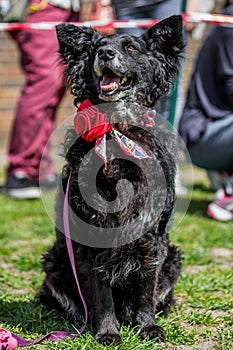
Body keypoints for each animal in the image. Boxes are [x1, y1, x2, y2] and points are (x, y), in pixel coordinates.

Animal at [39, 16, 185, 344]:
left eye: (131, 48)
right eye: (96, 48)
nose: (105, 53)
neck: (117, 128)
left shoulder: (151, 236)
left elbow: (146, 288)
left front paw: (148, 327)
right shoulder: (90, 235)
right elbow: (101, 293)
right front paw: (107, 331)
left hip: (173, 259)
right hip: (54, 263)